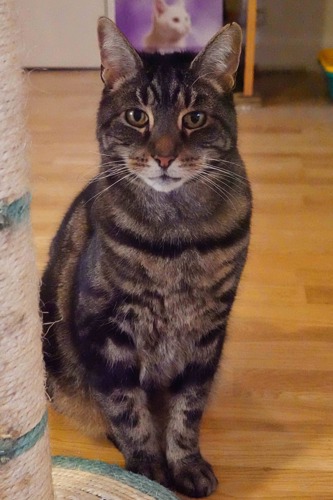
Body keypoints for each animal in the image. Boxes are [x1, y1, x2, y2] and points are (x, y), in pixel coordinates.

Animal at [40, 17, 250, 498]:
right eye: (138, 117)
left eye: (195, 118)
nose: (165, 156)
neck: (176, 239)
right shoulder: (107, 331)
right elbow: (126, 408)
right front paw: (147, 472)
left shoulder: (207, 333)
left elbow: (187, 409)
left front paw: (185, 463)